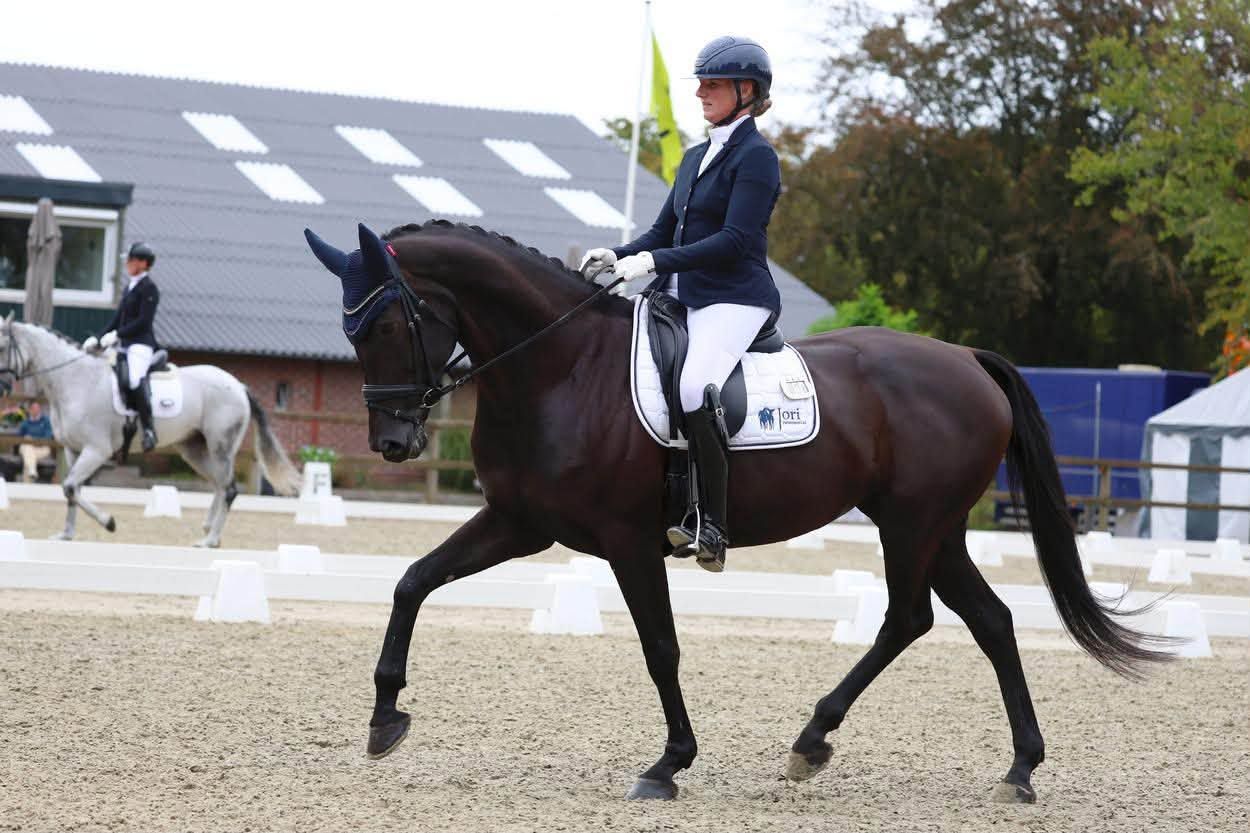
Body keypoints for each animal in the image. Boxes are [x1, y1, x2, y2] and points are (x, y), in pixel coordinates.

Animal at [0, 315, 301, 546]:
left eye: (3, 346)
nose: (3, 388)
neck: (76, 380)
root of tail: (239, 385)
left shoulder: (96, 450)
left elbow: (71, 486)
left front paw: (109, 522)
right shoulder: (73, 450)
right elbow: (71, 490)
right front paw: (66, 535)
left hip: (221, 446)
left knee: (229, 489)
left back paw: (211, 540)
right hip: (194, 449)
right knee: (219, 483)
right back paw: (206, 528)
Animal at [303, 220, 1172, 804]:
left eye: (388, 322)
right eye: (349, 327)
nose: (392, 441)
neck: (560, 367)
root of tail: (966, 358)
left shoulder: (627, 540)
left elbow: (660, 647)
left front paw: (668, 764)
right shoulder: (520, 522)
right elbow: (412, 581)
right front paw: (384, 717)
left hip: (912, 521)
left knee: (909, 616)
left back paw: (815, 740)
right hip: (936, 527)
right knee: (985, 620)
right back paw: (1014, 767)